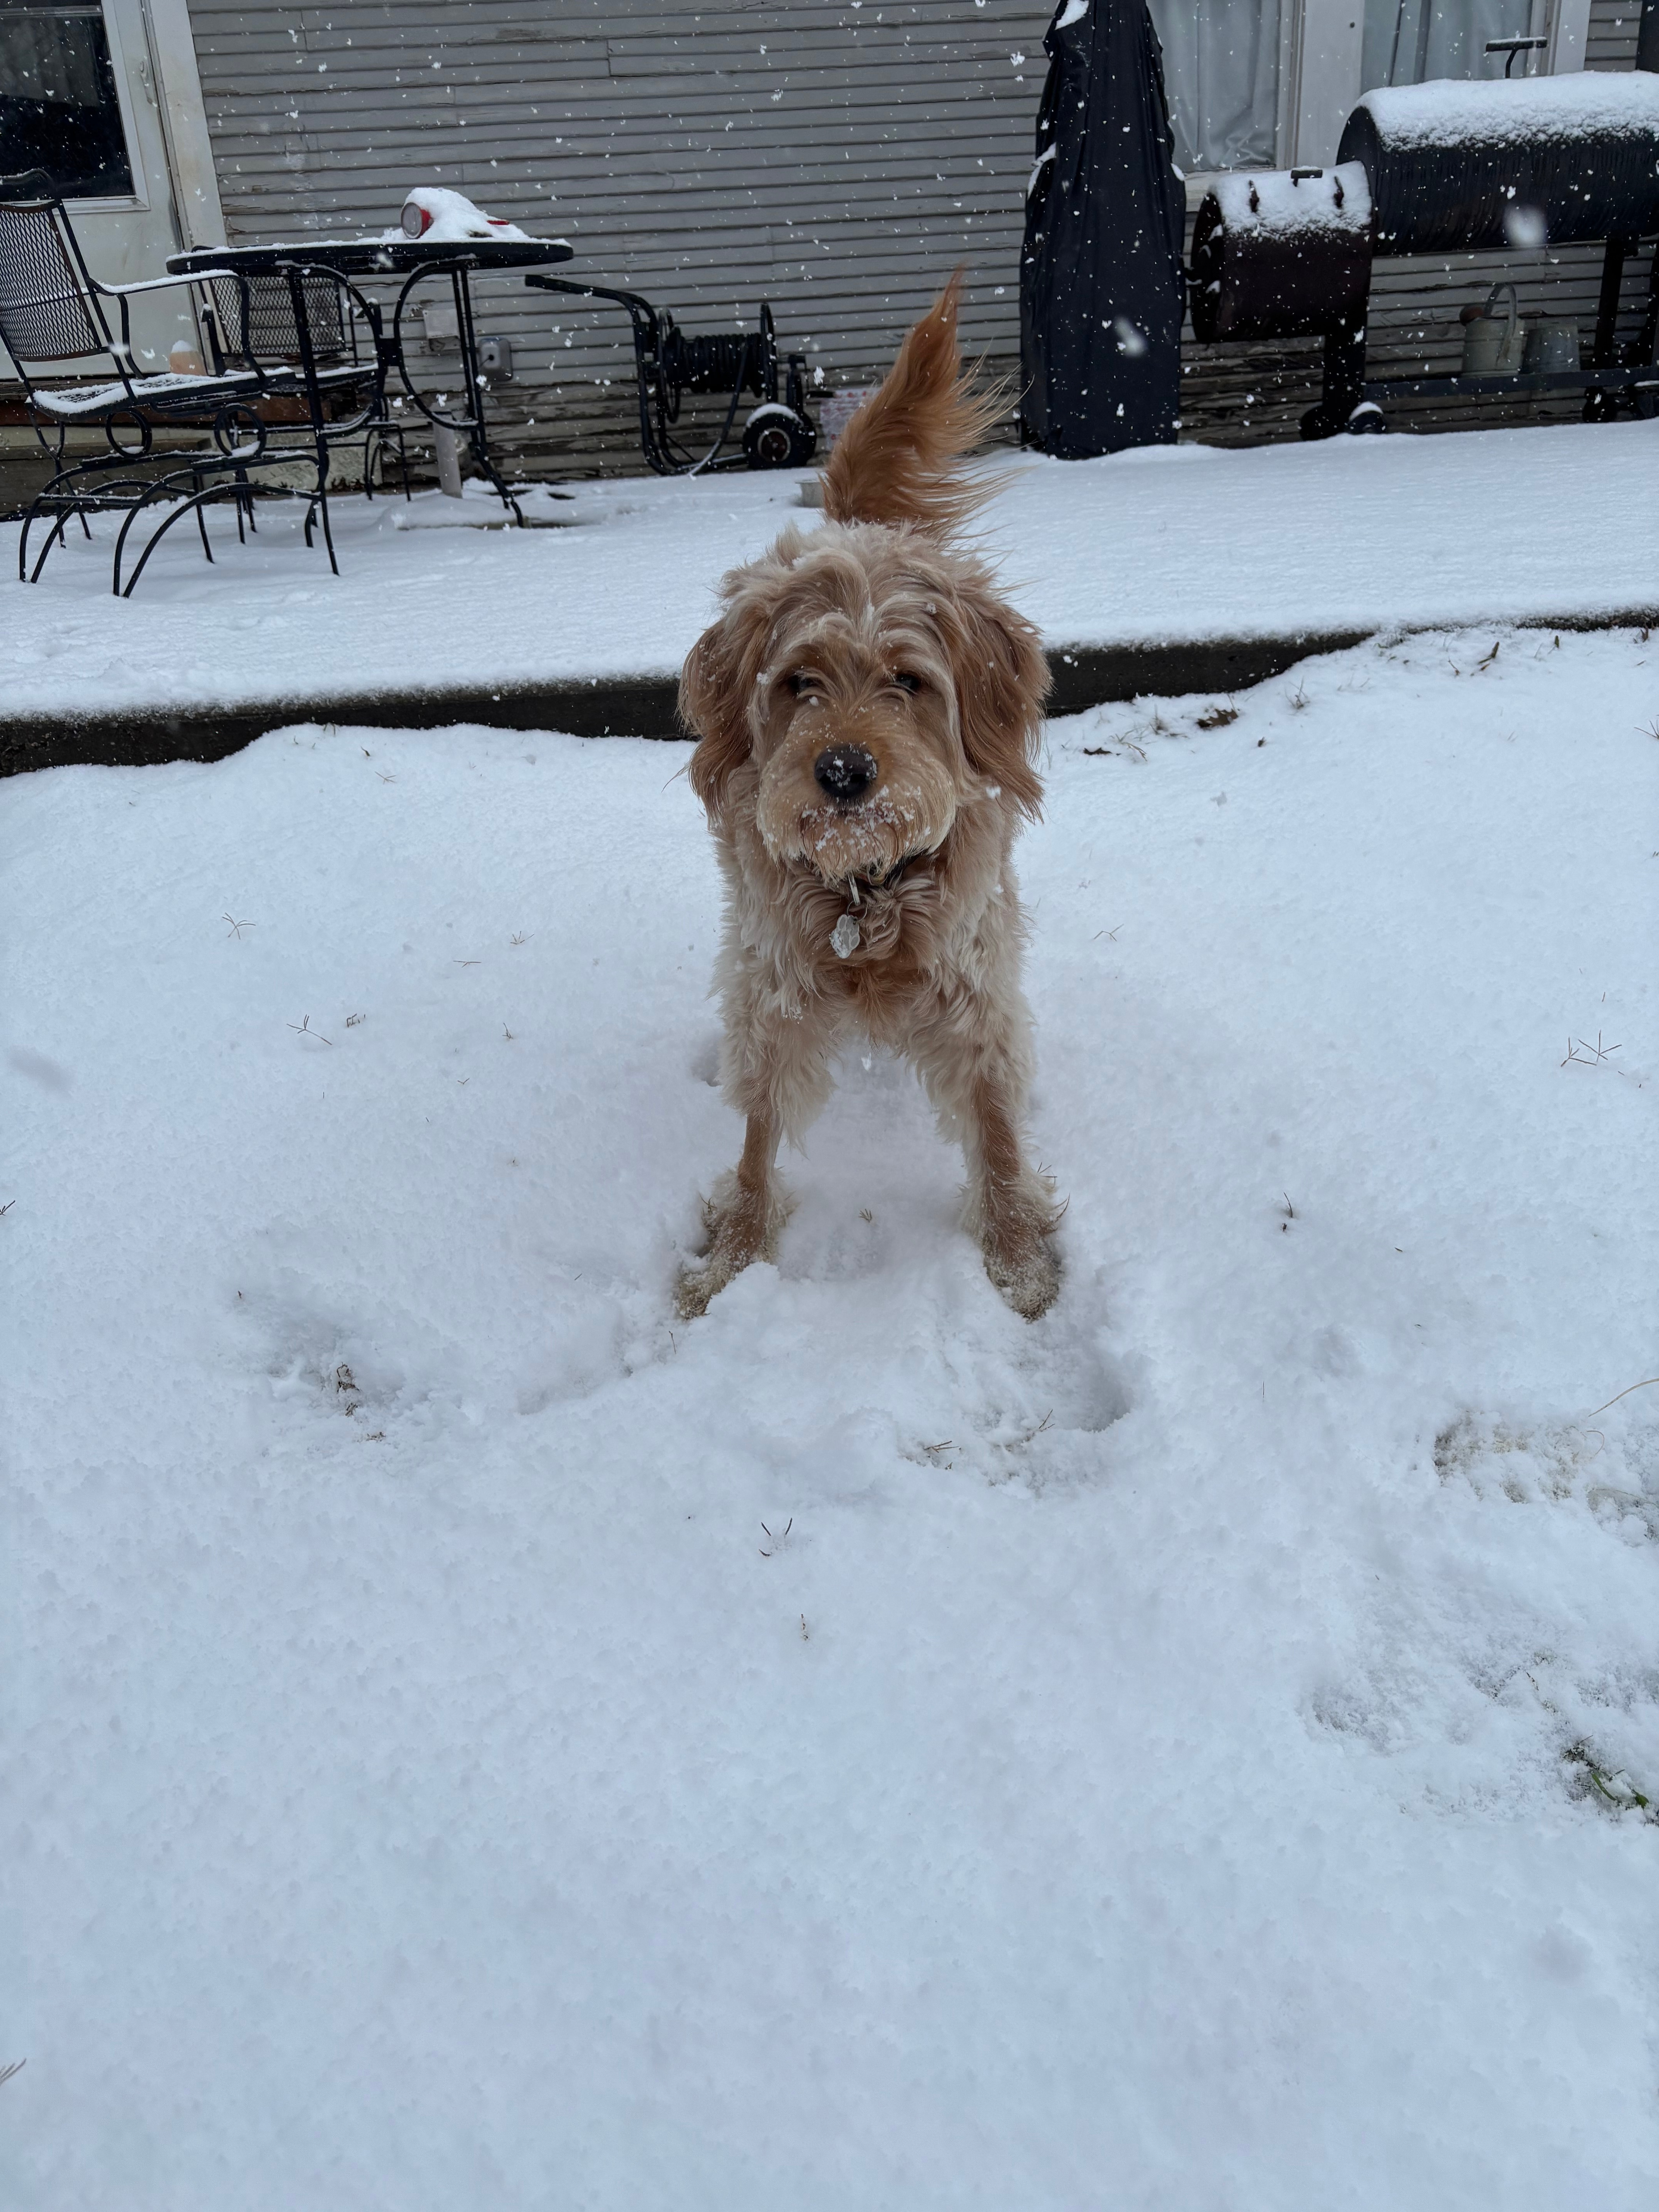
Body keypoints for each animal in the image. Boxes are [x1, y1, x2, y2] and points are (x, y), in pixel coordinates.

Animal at [677, 272, 1057, 1309]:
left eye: (908, 681)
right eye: (800, 681)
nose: (845, 771)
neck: (868, 892)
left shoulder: (973, 977)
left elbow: (996, 1125)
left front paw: (1018, 1261)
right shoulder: (775, 985)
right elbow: (759, 1132)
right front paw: (733, 1258)